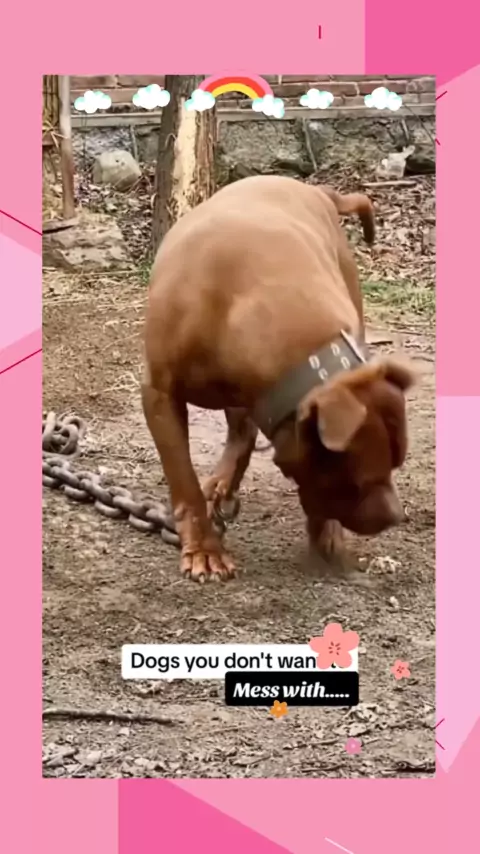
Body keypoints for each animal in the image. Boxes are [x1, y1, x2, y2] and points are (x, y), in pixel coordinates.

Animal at [142, 175, 414, 582]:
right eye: (361, 478)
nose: (395, 516)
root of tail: (316, 190)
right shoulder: (159, 394)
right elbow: (183, 480)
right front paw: (205, 549)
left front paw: (327, 533)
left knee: (242, 432)